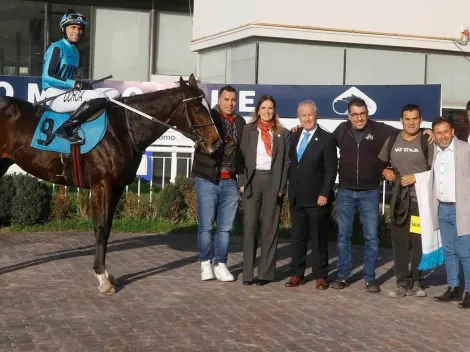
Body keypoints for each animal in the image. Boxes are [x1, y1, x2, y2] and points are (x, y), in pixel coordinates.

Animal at [0, 74, 222, 294]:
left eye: (207, 105)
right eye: (196, 107)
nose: (216, 142)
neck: (123, 129)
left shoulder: (117, 187)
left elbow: (107, 228)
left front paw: (107, 275)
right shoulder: (102, 185)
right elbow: (100, 228)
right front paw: (101, 277)